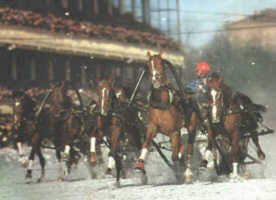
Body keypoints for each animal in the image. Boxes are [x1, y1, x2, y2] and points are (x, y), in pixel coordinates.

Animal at [135, 50, 196, 182]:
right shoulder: (152, 127)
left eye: (161, 64)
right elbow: (146, 144)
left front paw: (179, 166)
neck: (162, 104)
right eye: (149, 65)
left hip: (192, 126)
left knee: (189, 148)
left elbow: (175, 155)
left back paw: (187, 172)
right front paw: (140, 165)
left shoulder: (174, 131)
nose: (156, 78)